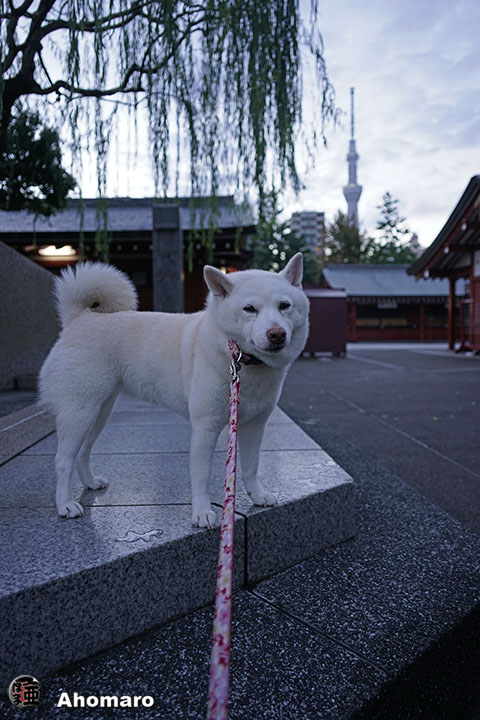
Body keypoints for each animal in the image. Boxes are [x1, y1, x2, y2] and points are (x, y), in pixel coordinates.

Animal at [39, 253, 309, 528]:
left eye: (284, 305)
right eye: (249, 309)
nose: (277, 334)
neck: (242, 361)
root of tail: (78, 319)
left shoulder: (254, 425)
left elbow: (251, 467)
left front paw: (258, 495)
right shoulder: (205, 427)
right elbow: (201, 477)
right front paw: (202, 512)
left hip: (99, 412)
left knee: (83, 452)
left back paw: (91, 483)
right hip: (79, 412)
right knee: (63, 460)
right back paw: (65, 504)